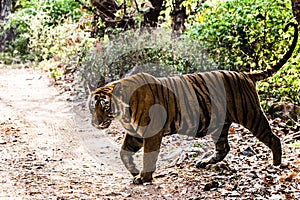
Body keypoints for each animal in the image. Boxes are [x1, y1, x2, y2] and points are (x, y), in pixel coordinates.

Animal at [88, 22, 298, 184]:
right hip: (219, 124)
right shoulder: (136, 133)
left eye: (104, 106)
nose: (96, 123)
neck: (123, 113)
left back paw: (275, 165)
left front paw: (144, 177)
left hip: (251, 115)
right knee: (224, 148)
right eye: (92, 107)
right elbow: (123, 153)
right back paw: (204, 162)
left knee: (273, 138)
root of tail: (245, 74)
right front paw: (133, 171)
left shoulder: (151, 132)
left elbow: (148, 156)